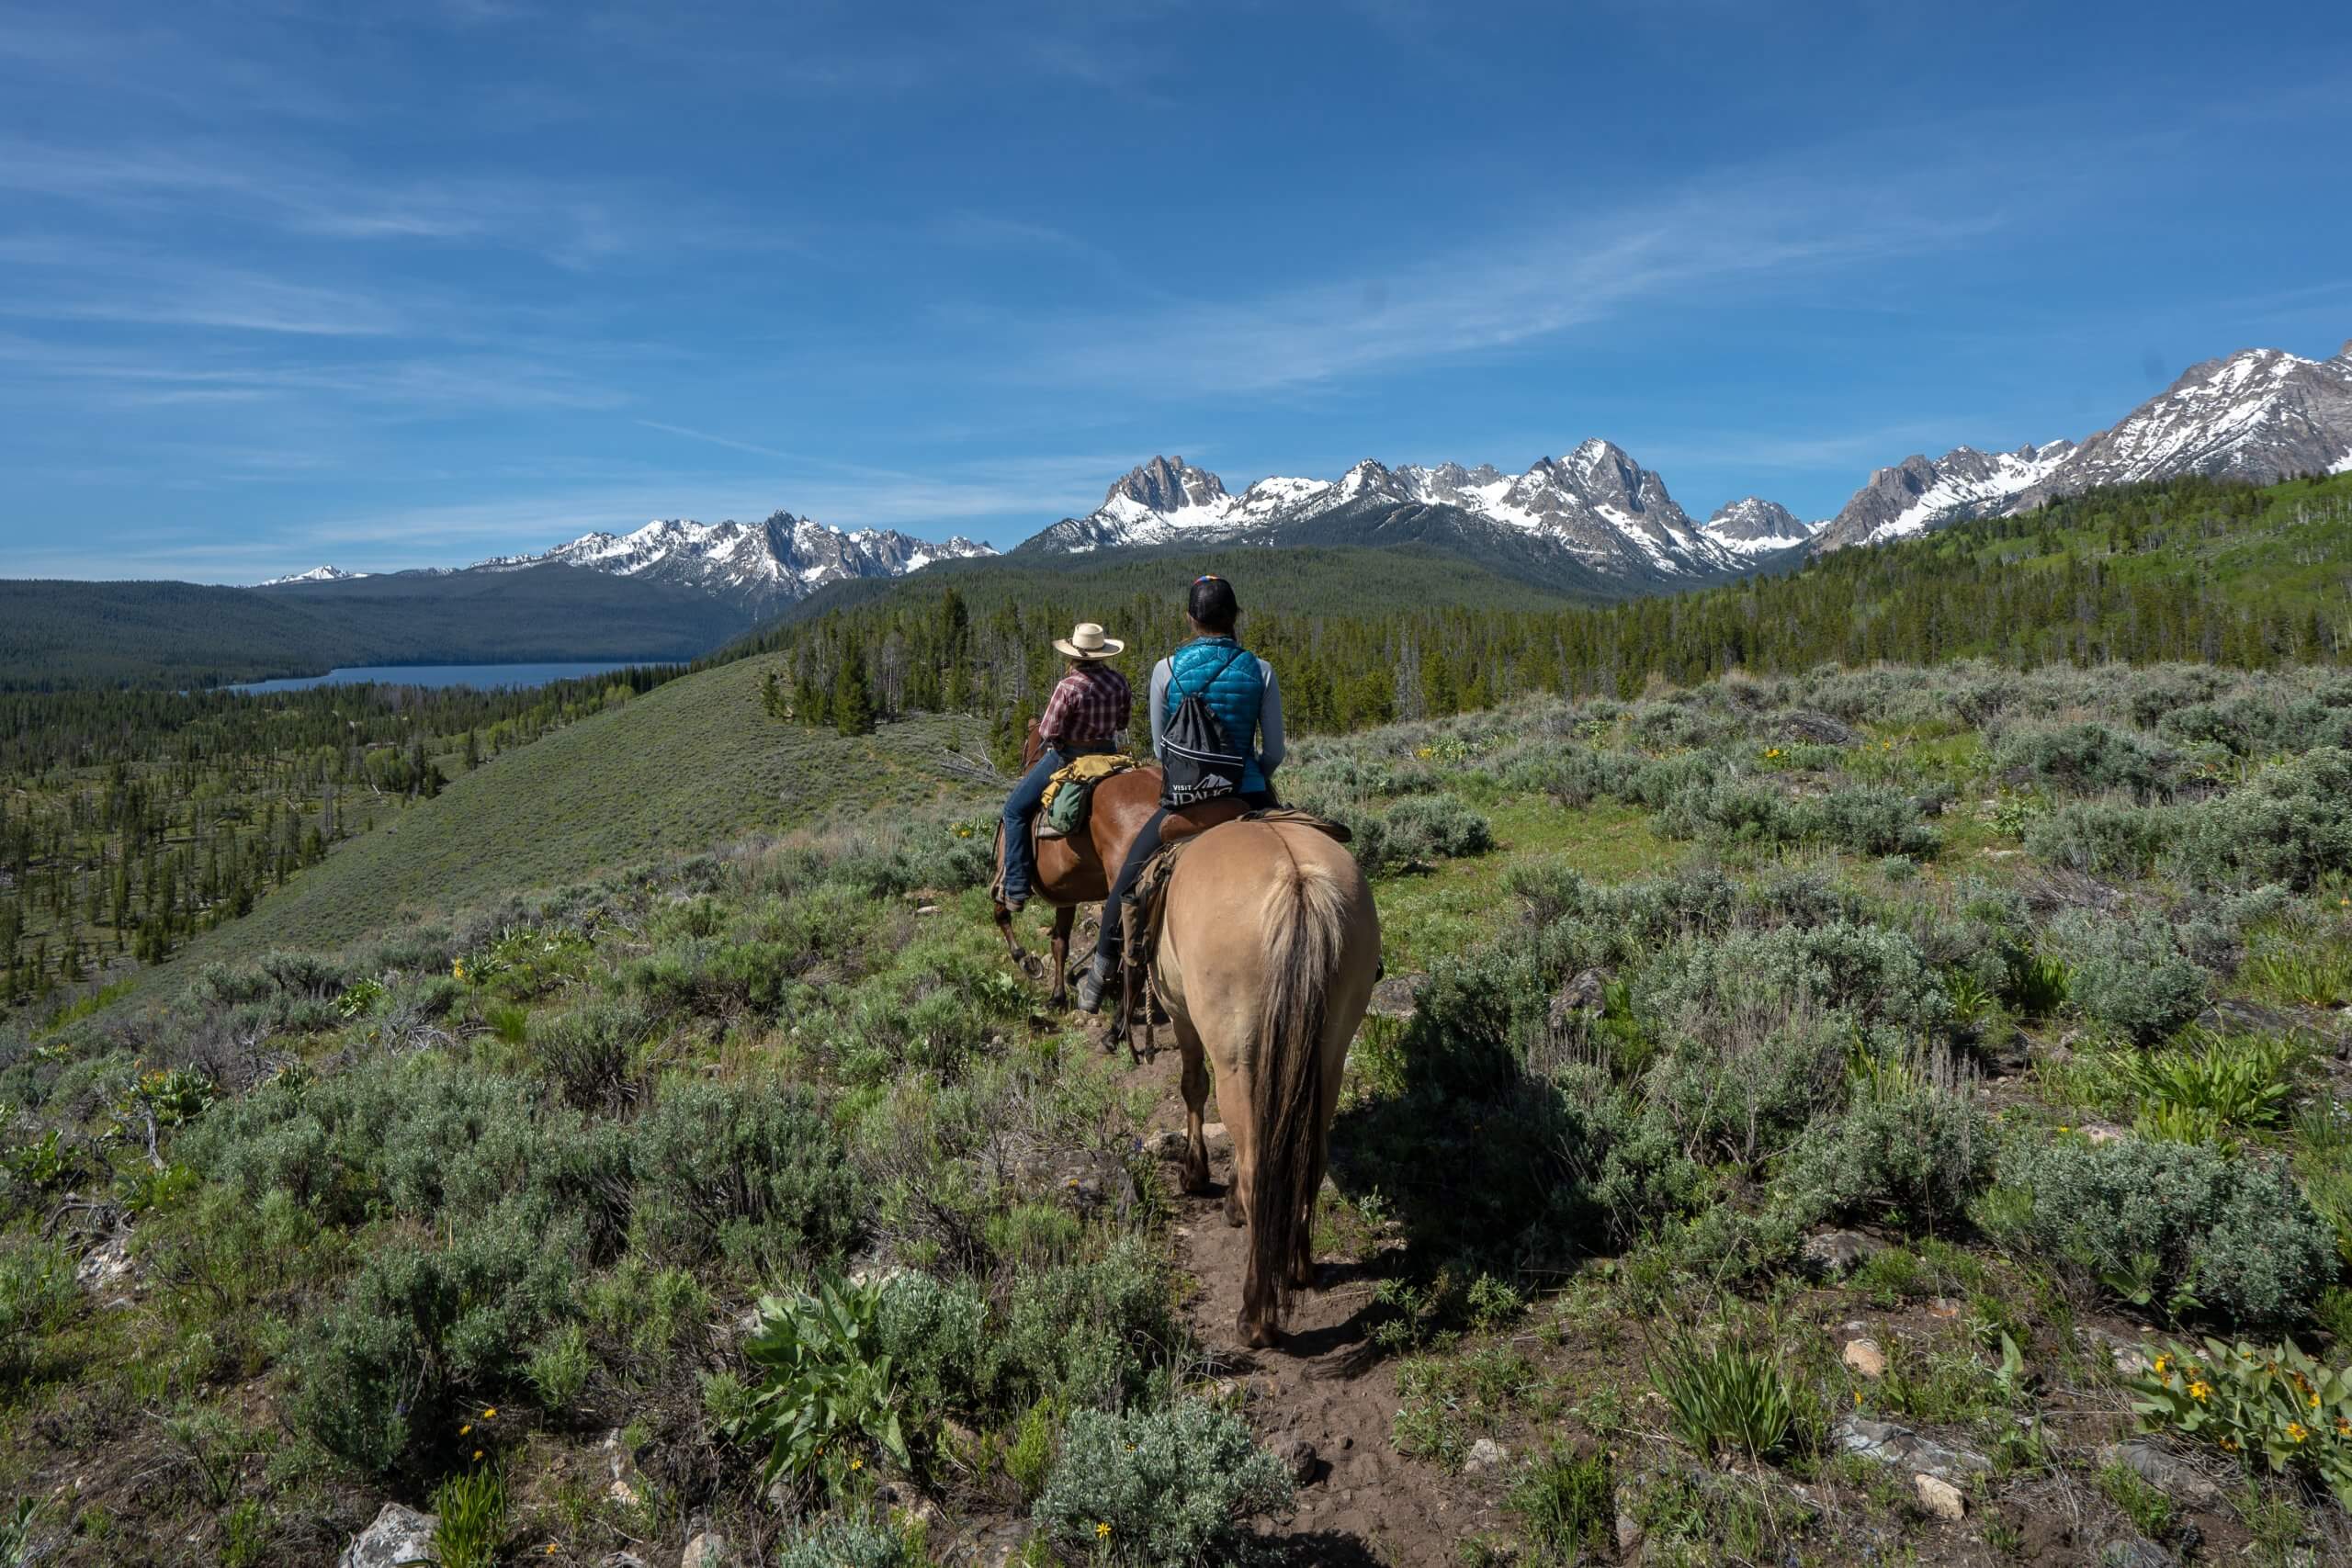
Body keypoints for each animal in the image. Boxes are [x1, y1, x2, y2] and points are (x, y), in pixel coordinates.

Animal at [997, 719, 1170, 1010]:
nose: (1022, 762)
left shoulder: (1004, 875)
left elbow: (1002, 914)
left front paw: (1026, 961)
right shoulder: (1066, 895)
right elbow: (1059, 943)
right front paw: (1057, 996)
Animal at [1152, 822, 1374, 1354]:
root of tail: (1297, 885)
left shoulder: (1180, 1013)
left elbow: (1193, 1086)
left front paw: (1196, 1174)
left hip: (1238, 1058)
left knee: (1259, 1169)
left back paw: (1256, 1319)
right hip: (1328, 1056)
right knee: (1308, 1159)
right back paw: (1296, 1267)